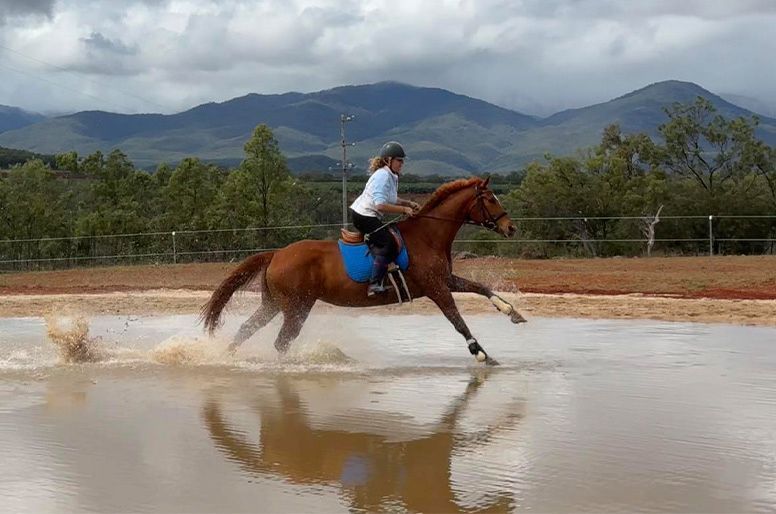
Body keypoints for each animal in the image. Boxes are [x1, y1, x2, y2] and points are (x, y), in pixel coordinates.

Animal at [202, 176, 526, 365]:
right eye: (490, 199)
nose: (511, 228)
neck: (429, 235)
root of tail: (277, 253)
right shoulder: (436, 288)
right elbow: (457, 320)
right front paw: (480, 353)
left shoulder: (445, 280)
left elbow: (480, 288)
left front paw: (513, 313)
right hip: (297, 307)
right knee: (282, 341)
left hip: (274, 304)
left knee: (247, 328)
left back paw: (225, 357)